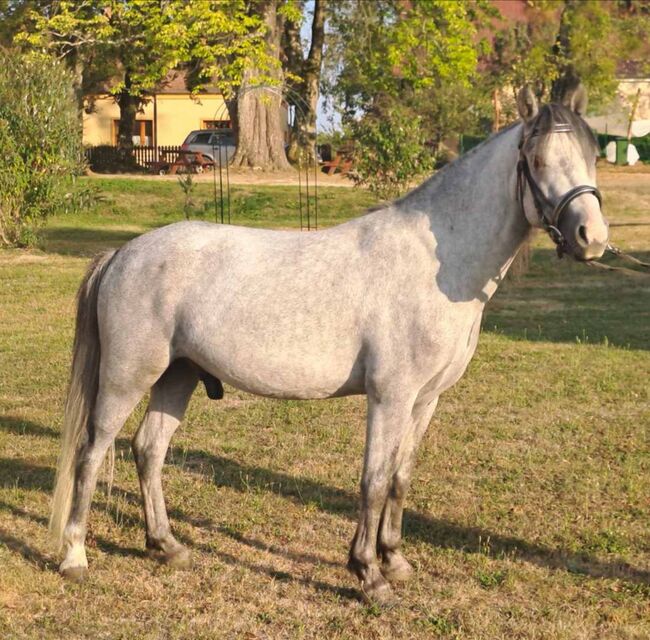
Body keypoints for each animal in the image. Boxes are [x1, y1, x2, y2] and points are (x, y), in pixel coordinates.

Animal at [50, 86, 608, 604]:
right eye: (537, 160)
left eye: (592, 155)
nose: (592, 237)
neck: (434, 262)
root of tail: (122, 253)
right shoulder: (390, 397)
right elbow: (373, 480)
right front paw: (369, 575)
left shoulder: (425, 400)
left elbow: (401, 476)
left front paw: (394, 560)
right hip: (126, 378)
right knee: (92, 452)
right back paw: (75, 557)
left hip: (177, 376)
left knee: (149, 450)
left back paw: (166, 546)